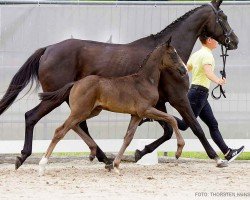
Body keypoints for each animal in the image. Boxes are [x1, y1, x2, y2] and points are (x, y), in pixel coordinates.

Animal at [37, 38, 186, 175]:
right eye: (173, 54)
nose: (183, 69)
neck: (145, 81)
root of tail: (75, 83)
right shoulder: (146, 110)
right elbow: (171, 118)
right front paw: (179, 150)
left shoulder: (136, 115)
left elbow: (128, 138)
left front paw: (116, 165)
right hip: (81, 111)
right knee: (60, 131)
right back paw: (42, 165)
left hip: (91, 111)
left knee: (73, 125)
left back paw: (93, 152)